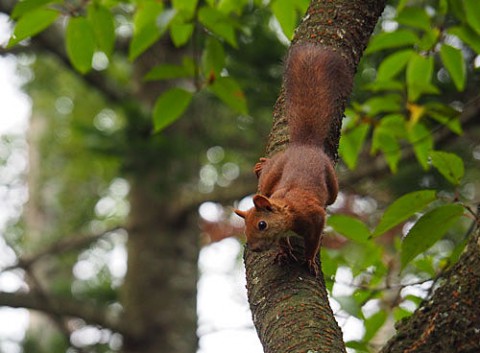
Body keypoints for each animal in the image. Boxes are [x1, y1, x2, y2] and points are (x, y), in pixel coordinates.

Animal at [235, 44, 352, 274]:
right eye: (244, 227)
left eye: (262, 224)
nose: (254, 248)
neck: (289, 208)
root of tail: (304, 146)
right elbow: (282, 243)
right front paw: (284, 252)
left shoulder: (315, 217)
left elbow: (313, 242)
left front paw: (309, 260)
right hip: (273, 174)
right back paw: (261, 165)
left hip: (332, 183)